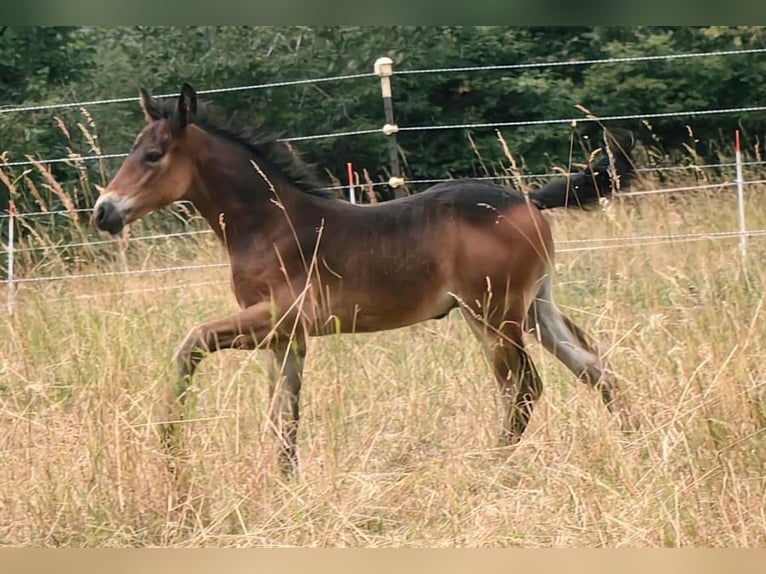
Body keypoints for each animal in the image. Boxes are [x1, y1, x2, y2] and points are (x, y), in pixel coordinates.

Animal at [93, 83, 637, 477]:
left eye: (154, 155)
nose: (104, 212)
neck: (269, 224)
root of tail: (528, 198)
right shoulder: (287, 338)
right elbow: (284, 415)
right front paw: (286, 484)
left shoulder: (281, 317)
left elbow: (192, 342)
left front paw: (169, 445)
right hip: (535, 307)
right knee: (595, 368)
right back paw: (636, 443)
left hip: (493, 313)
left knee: (523, 388)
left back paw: (490, 468)